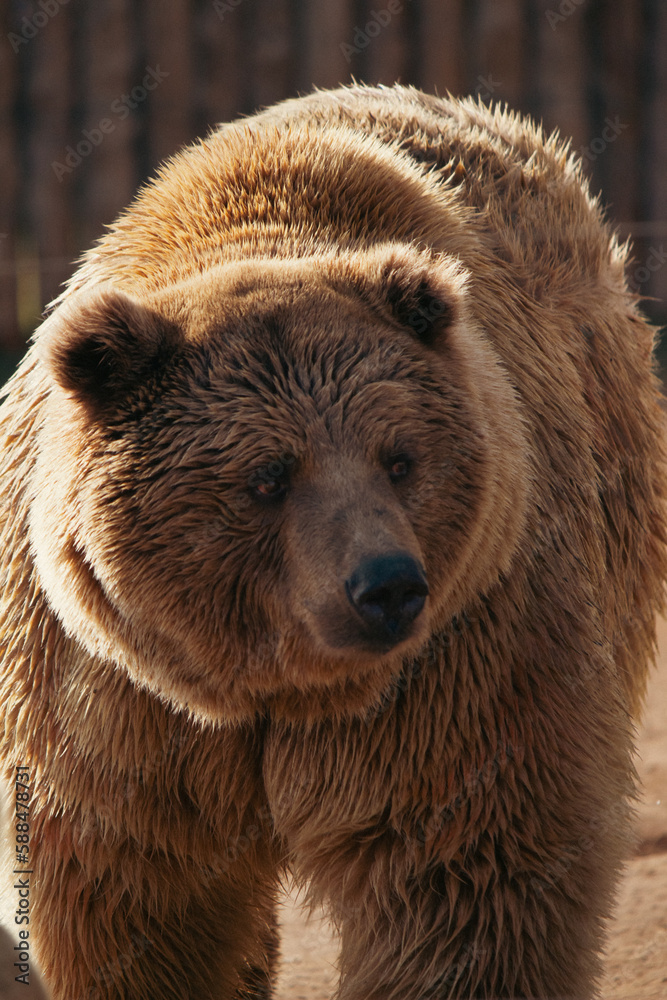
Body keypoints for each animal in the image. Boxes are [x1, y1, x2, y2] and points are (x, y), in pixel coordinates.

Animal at [0, 82, 665, 1000]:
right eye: (268, 475)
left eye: (399, 458)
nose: (385, 585)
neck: (272, 688)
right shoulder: (113, 699)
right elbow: (139, 899)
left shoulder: (464, 652)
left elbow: (466, 877)